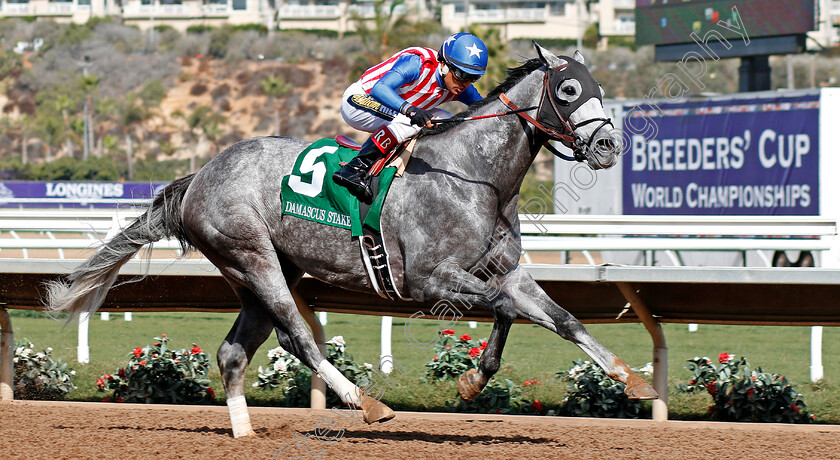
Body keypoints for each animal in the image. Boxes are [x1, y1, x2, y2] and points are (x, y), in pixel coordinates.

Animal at [47, 44, 656, 438]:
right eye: (570, 89)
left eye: (601, 89)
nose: (608, 147)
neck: (474, 175)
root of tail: (199, 176)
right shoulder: (429, 280)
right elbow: (507, 309)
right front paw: (471, 381)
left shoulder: (505, 270)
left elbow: (559, 318)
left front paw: (631, 382)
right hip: (251, 255)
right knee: (299, 338)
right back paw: (365, 402)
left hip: (263, 270)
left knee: (234, 352)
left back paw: (245, 432)